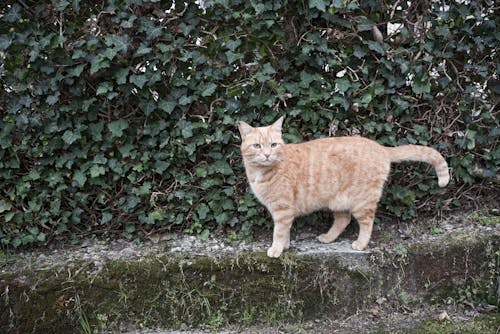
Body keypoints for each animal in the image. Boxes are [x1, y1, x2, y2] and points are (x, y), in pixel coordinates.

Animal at [236, 115, 452, 258]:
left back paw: (361, 244)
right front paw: (285, 246)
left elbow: (279, 231)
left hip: (362, 202)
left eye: (273, 145)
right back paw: (328, 238)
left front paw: (276, 248)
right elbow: (286, 230)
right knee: (343, 219)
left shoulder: (282, 208)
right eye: (257, 146)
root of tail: (381, 147)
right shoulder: (284, 210)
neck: (262, 172)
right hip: (338, 201)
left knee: (367, 222)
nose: (266, 155)